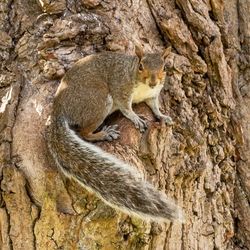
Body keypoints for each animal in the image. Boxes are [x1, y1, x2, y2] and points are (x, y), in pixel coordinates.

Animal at [46, 45, 184, 223]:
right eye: (141, 66)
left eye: (164, 68)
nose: (153, 82)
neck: (143, 86)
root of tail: (58, 109)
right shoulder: (120, 88)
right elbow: (126, 108)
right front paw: (135, 118)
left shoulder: (152, 96)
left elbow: (154, 107)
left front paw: (162, 116)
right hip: (98, 101)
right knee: (84, 132)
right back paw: (104, 134)